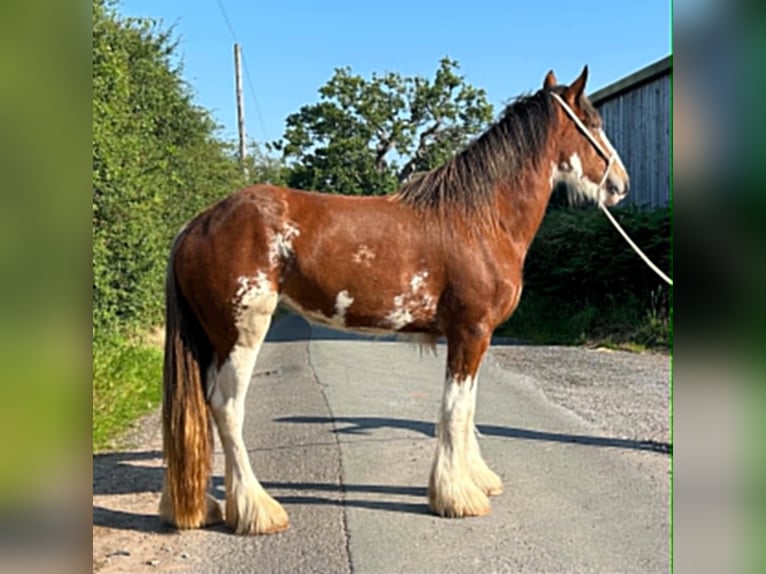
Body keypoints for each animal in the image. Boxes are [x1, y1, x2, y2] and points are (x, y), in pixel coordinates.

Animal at [159, 66, 629, 535]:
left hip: (212, 343)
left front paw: (476, 479)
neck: (478, 219)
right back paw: (259, 510)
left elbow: (468, 410)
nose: (620, 185)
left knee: (201, 412)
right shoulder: (470, 332)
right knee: (227, 409)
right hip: (241, 335)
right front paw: (456, 496)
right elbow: (454, 411)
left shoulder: (476, 337)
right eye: (591, 124)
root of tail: (196, 225)